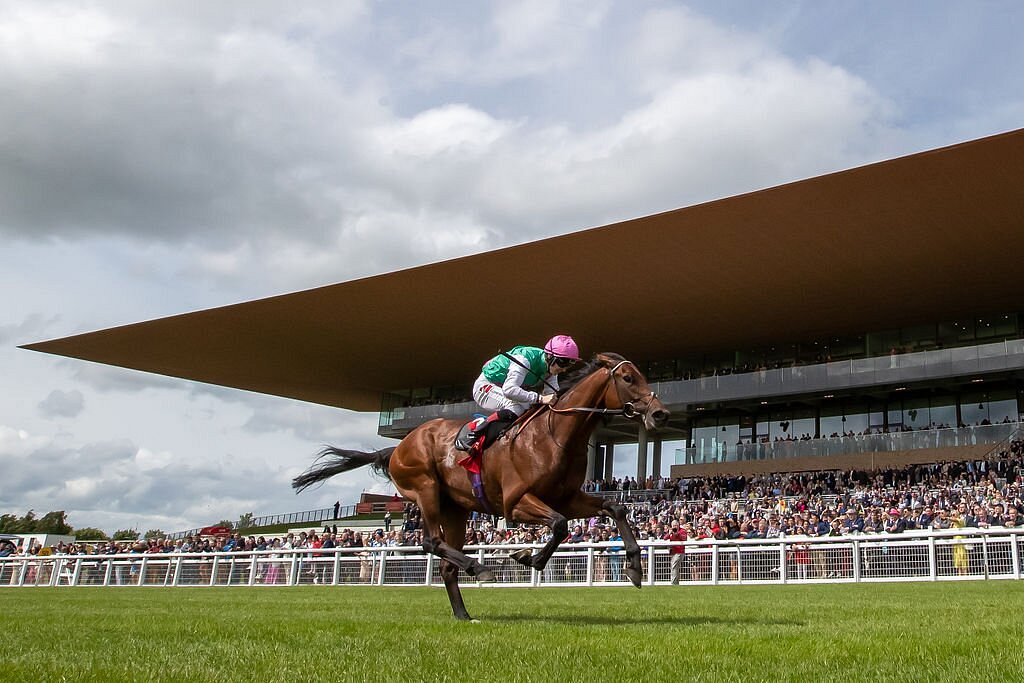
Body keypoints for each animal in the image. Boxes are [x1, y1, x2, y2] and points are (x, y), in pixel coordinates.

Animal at [292, 352, 667, 618]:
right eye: (629, 377)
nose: (659, 413)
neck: (553, 435)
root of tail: (396, 447)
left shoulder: (567, 497)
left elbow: (614, 507)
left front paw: (635, 567)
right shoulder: (516, 502)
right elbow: (559, 525)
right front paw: (529, 557)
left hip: (455, 509)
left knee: (445, 562)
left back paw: (463, 614)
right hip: (425, 488)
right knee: (431, 542)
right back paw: (479, 567)